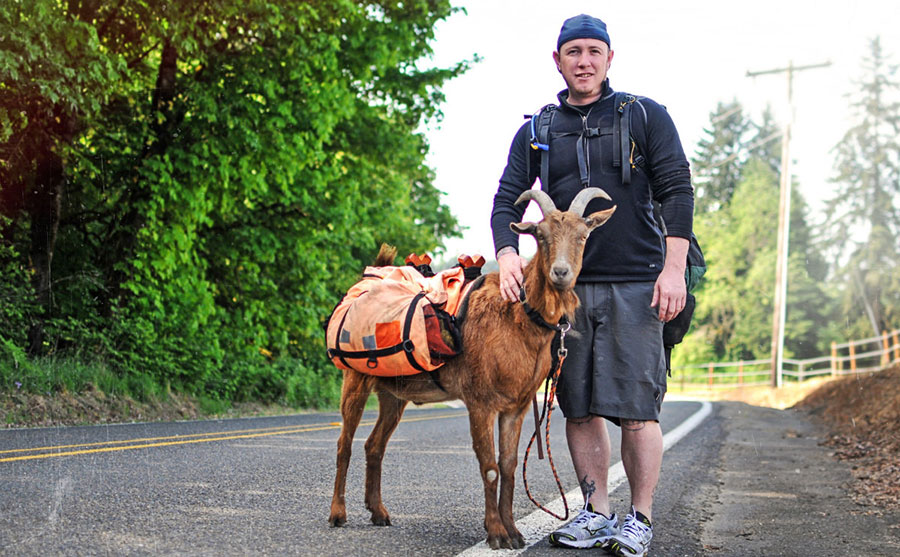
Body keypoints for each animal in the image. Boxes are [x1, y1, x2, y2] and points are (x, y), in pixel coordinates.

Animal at [328, 187, 616, 549]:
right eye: (540, 235)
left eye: (583, 235)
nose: (561, 272)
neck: (518, 318)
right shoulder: (480, 401)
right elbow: (489, 466)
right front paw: (496, 533)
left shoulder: (517, 405)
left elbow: (509, 466)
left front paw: (514, 532)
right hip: (355, 377)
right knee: (344, 443)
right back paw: (338, 514)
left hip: (393, 393)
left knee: (374, 445)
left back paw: (379, 512)